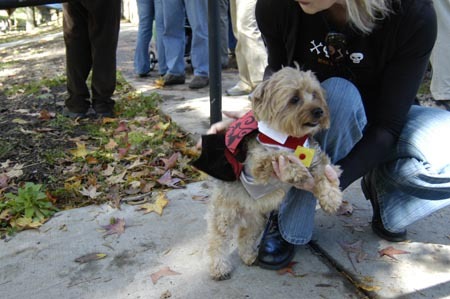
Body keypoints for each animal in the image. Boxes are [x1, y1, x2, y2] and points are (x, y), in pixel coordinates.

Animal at [204, 66, 342, 282]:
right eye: (294, 99)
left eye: (314, 94)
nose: (319, 111)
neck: (291, 139)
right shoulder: (257, 164)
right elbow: (279, 156)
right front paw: (295, 170)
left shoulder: (318, 159)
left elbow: (325, 173)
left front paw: (331, 197)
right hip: (224, 215)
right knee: (217, 241)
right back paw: (219, 268)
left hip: (256, 220)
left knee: (244, 236)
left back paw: (249, 256)